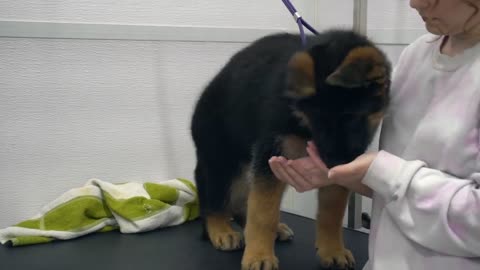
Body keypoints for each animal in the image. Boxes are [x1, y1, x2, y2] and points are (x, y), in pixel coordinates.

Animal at [189, 28, 392, 268]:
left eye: (352, 117)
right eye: (317, 121)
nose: (333, 164)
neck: (303, 124)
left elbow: (331, 212)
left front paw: (332, 250)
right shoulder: (272, 153)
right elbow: (263, 212)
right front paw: (259, 256)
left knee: (242, 201)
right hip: (222, 160)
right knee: (213, 197)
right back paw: (220, 228)